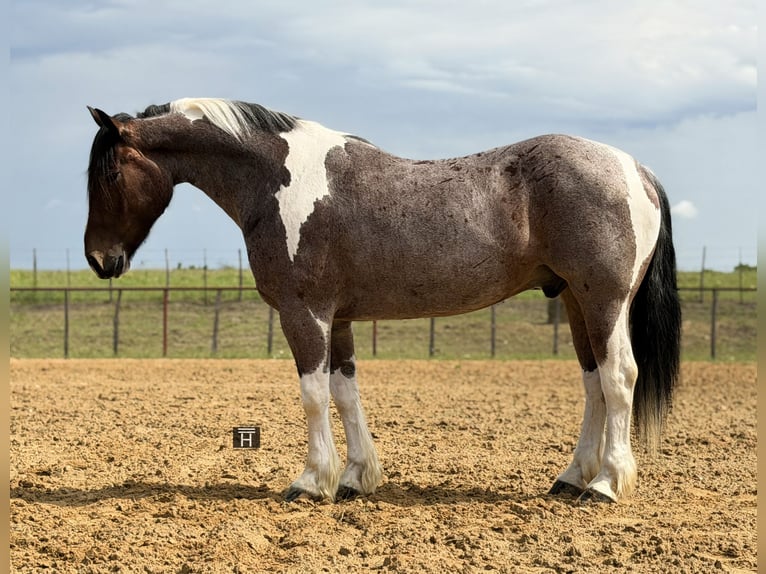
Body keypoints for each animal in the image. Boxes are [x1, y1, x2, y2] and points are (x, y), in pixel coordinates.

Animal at [85, 97, 681, 504]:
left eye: (110, 171)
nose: (97, 258)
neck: (279, 181)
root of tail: (635, 170)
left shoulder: (304, 314)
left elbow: (313, 395)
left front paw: (312, 481)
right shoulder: (339, 319)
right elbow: (346, 393)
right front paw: (355, 478)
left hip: (604, 301)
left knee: (618, 377)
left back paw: (605, 484)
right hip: (576, 302)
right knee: (593, 383)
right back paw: (571, 478)